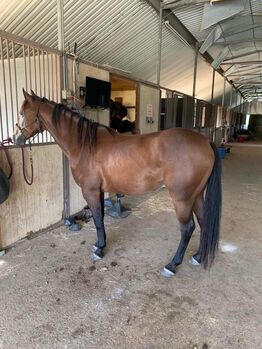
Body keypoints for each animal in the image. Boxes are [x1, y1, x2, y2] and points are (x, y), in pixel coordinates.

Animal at [12, 89, 221, 274]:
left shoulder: (90, 191)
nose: (15, 138)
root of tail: (205, 142)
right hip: (197, 195)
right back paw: (197, 257)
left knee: (187, 228)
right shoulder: (99, 191)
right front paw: (99, 244)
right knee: (203, 222)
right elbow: (101, 218)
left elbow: (97, 219)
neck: (84, 145)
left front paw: (99, 250)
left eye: (22, 113)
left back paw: (172, 265)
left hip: (182, 199)